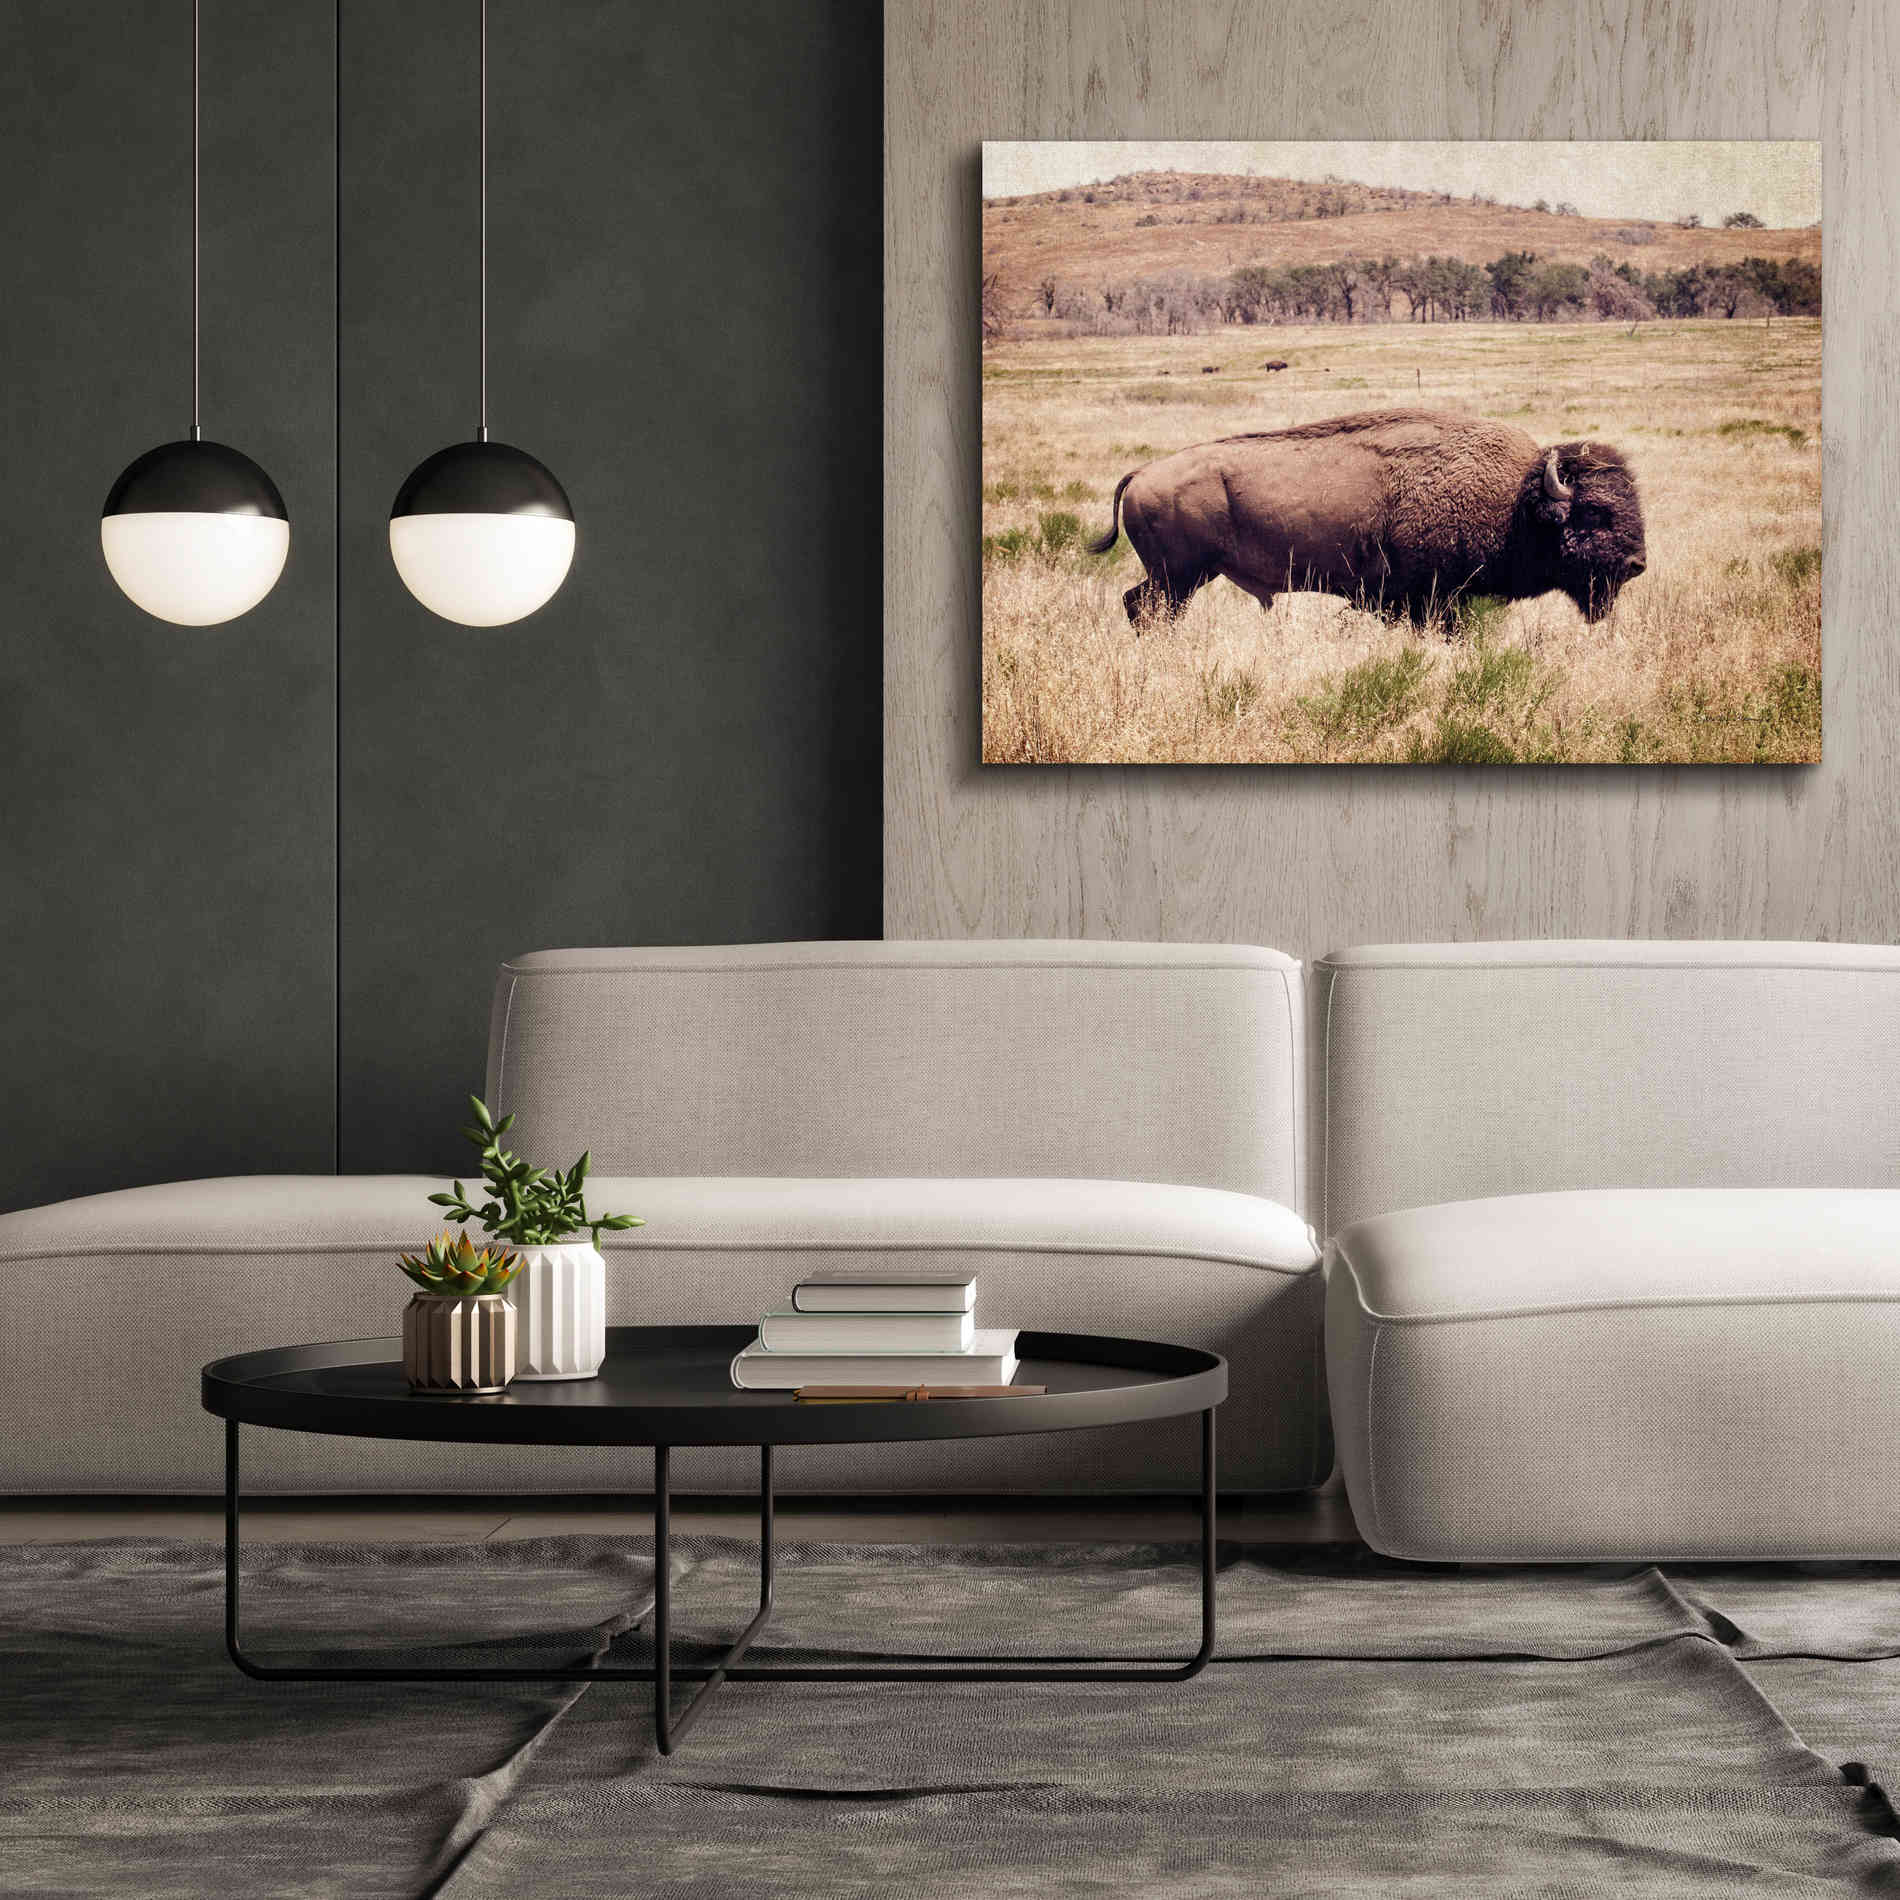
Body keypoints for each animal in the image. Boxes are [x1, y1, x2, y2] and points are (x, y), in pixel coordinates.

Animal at [1088, 408, 1646, 627]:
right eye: (1594, 513)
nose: (1637, 563)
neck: (1514, 501)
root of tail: (1142, 473)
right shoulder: (1430, 600)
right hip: (1179, 577)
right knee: (1146, 609)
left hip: (1178, 578)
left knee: (1136, 604)